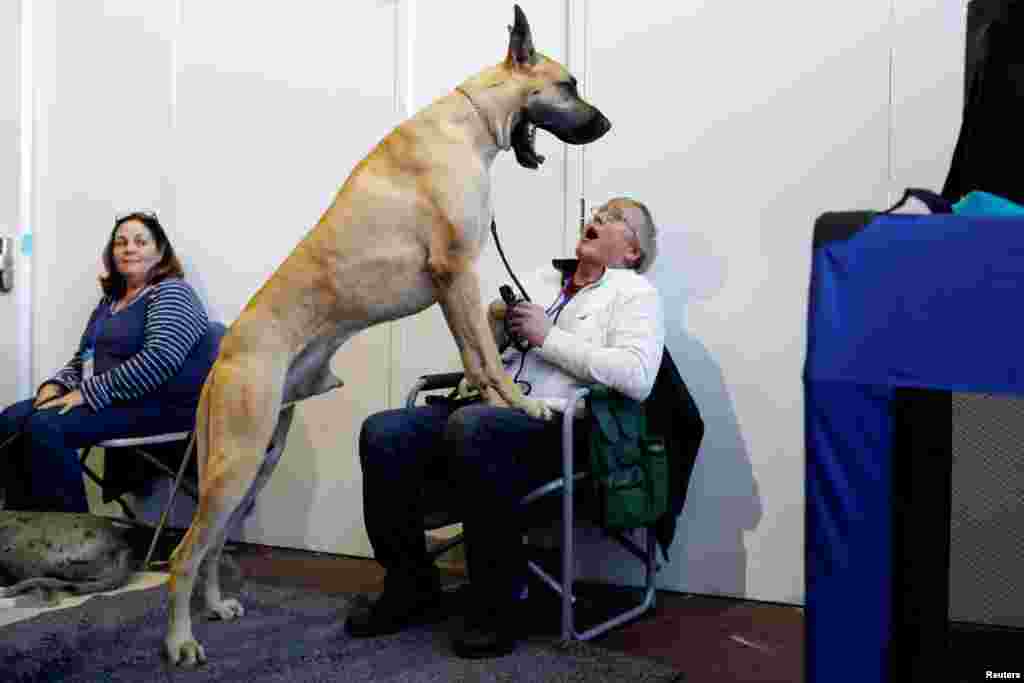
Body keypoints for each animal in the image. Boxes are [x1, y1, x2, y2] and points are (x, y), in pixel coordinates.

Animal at [160, 5, 606, 663]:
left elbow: (478, 351)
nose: (607, 122)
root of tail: (221, 358)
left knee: (213, 544)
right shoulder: (457, 273)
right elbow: (487, 357)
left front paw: (487, 395)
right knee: (182, 554)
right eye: (569, 85)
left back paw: (215, 607)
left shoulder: (457, 288)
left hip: (257, 458)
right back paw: (180, 642)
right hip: (236, 457)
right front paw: (522, 405)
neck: (469, 121)